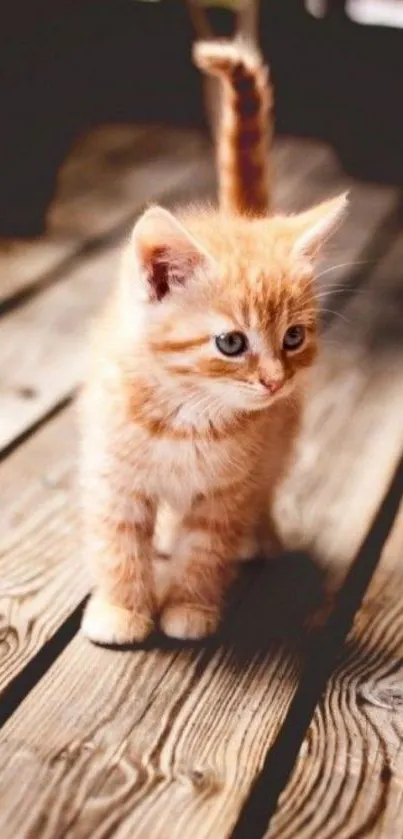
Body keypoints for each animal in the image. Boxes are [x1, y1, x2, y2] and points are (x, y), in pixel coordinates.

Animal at [81, 39, 348, 644]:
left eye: (293, 337)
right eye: (230, 343)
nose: (274, 381)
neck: (186, 414)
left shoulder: (229, 489)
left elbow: (207, 549)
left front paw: (190, 607)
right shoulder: (115, 475)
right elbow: (117, 543)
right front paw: (121, 608)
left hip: (281, 438)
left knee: (266, 488)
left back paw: (261, 536)